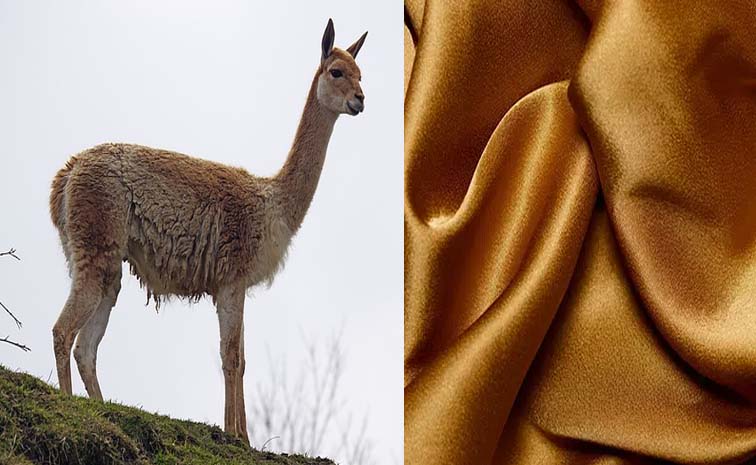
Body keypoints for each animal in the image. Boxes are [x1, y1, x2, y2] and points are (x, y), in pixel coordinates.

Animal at [48, 19, 367, 442]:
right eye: (337, 72)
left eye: (362, 73)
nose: (360, 100)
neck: (274, 203)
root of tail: (67, 175)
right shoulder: (231, 279)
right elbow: (231, 357)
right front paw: (237, 436)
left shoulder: (234, 284)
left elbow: (241, 358)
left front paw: (241, 434)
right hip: (95, 241)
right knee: (63, 331)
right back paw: (71, 406)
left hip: (102, 260)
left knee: (86, 346)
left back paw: (102, 409)